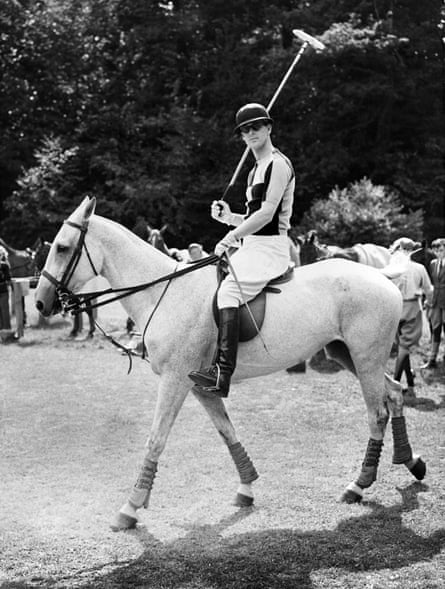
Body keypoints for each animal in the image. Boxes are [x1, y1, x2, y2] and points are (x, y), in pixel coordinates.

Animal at [33, 196, 424, 528]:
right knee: (395, 392)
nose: (40, 302)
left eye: (62, 248)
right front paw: (246, 489)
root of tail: (383, 275)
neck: (164, 294)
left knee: (377, 412)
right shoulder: (199, 385)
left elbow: (156, 439)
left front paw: (130, 508)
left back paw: (359, 484)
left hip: (365, 356)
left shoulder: (174, 380)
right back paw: (412, 462)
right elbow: (227, 431)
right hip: (347, 354)